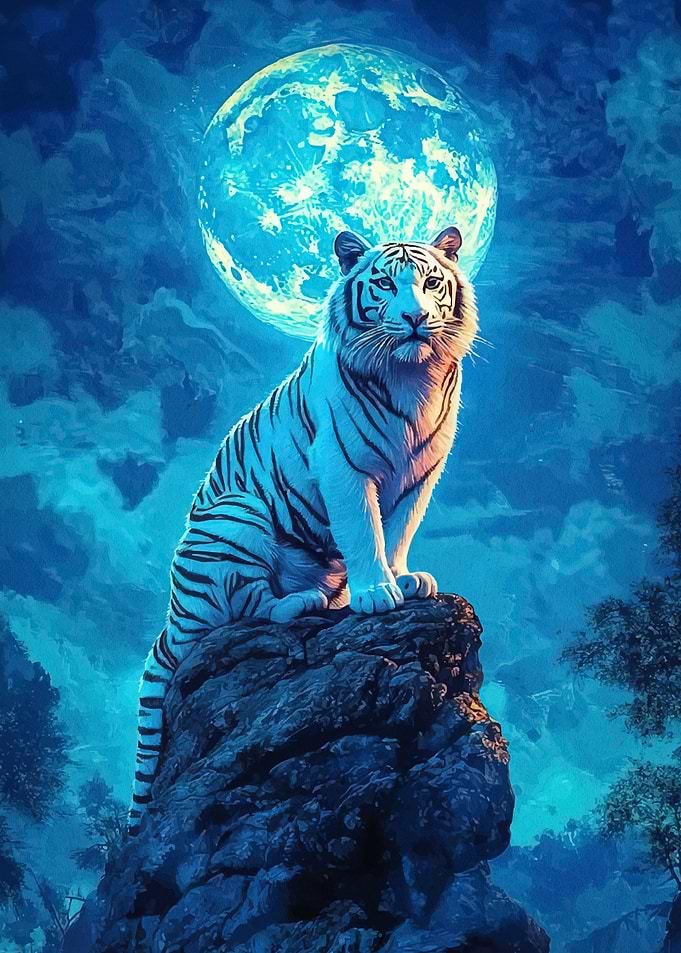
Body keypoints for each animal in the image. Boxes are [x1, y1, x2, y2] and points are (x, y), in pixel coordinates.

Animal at [129, 224, 479, 832]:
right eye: (384, 284)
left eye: (432, 283)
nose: (414, 318)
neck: (413, 374)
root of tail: (173, 616)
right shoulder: (341, 465)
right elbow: (364, 530)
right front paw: (375, 594)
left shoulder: (422, 471)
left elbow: (399, 530)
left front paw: (404, 580)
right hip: (235, 516)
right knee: (247, 608)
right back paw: (306, 602)